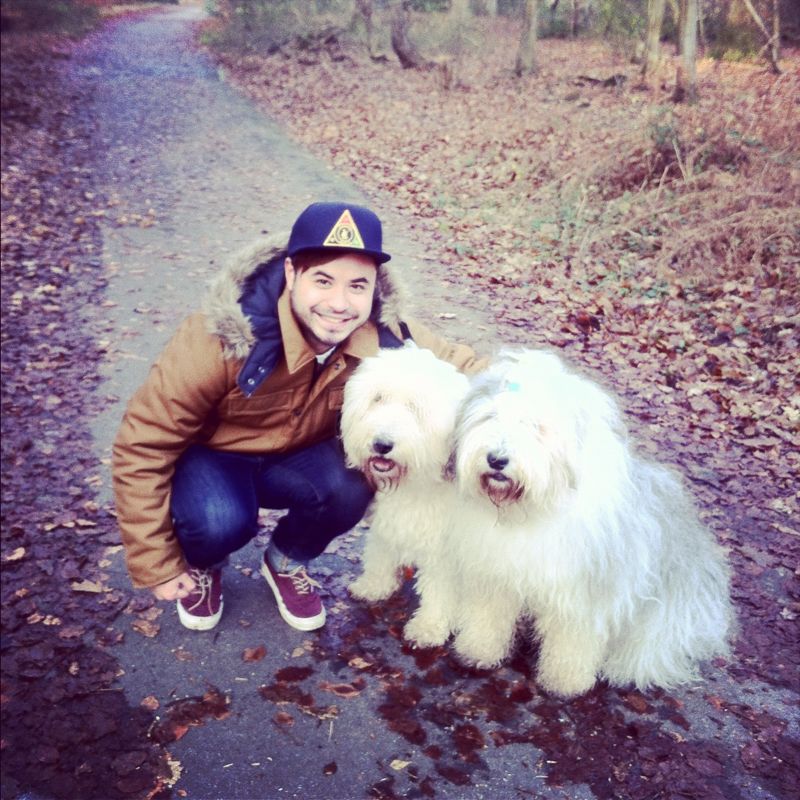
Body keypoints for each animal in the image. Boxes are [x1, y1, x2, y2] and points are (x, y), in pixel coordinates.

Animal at [340, 345, 469, 646]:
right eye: (377, 398)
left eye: (415, 408)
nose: (381, 444)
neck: (415, 483)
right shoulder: (387, 522)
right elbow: (380, 554)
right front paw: (374, 585)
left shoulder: (445, 551)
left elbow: (440, 589)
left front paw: (429, 627)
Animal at [448, 348, 734, 698]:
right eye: (489, 417)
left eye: (536, 427)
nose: (497, 459)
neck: (533, 509)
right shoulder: (496, 572)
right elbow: (488, 615)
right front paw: (478, 651)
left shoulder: (584, 592)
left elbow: (573, 638)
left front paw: (565, 682)